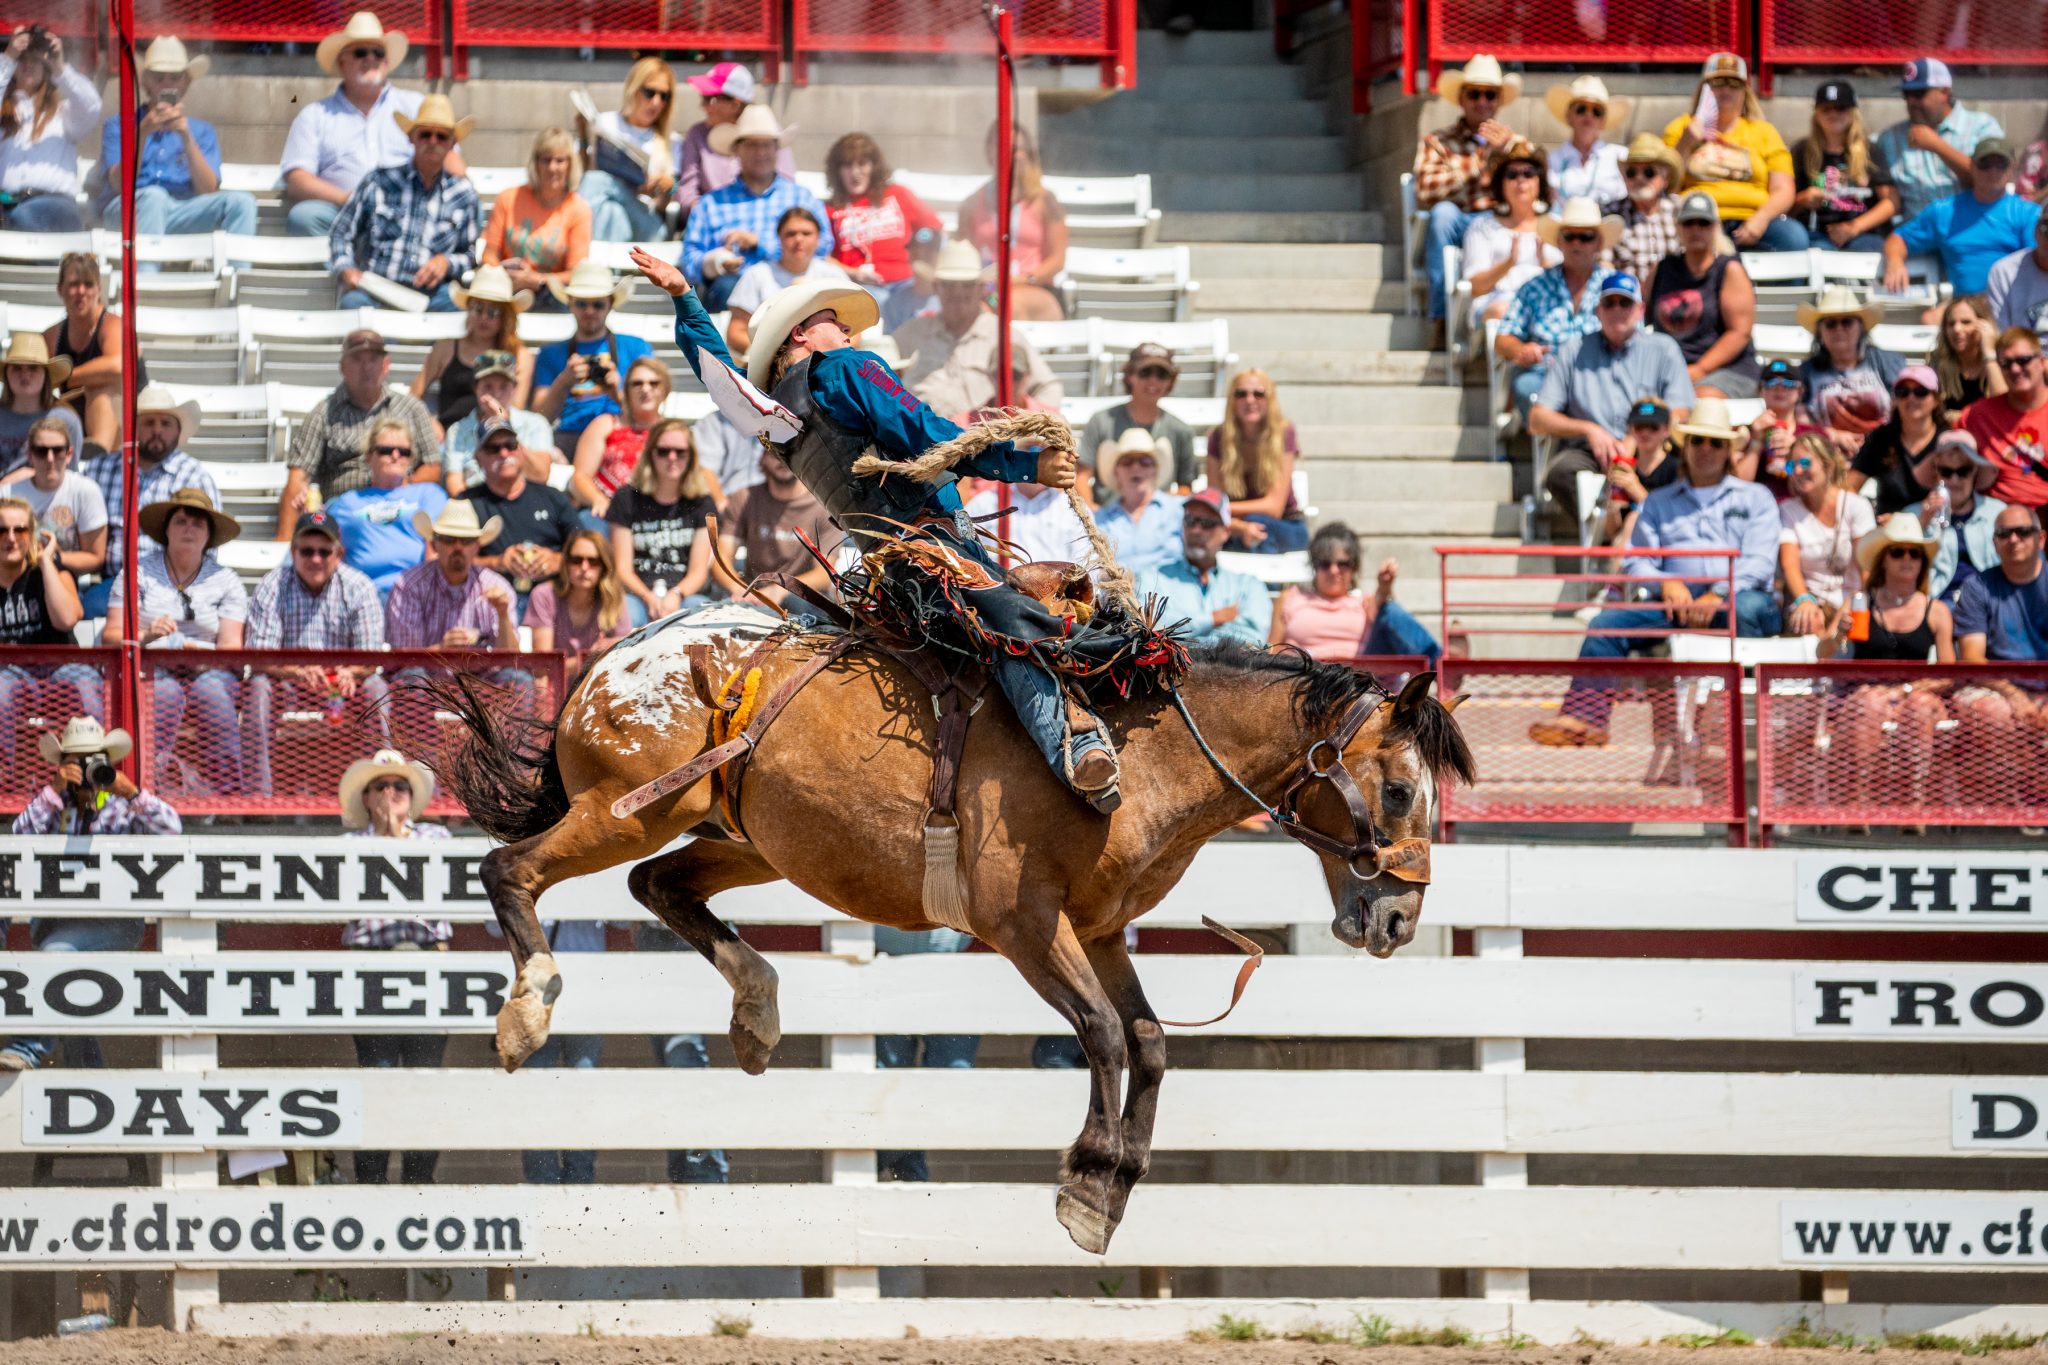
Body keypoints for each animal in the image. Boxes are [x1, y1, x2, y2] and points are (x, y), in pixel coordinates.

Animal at [436, 601, 1474, 1252]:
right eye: (1396, 789)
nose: (1398, 916)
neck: (1137, 750)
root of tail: (611, 661)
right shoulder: (1022, 921)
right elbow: (1102, 1031)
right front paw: (1088, 1181)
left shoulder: (1100, 930)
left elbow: (1146, 1039)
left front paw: (1117, 1184)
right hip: (626, 808)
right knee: (510, 869)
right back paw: (526, 1011)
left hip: (742, 837)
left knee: (658, 884)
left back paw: (757, 1012)